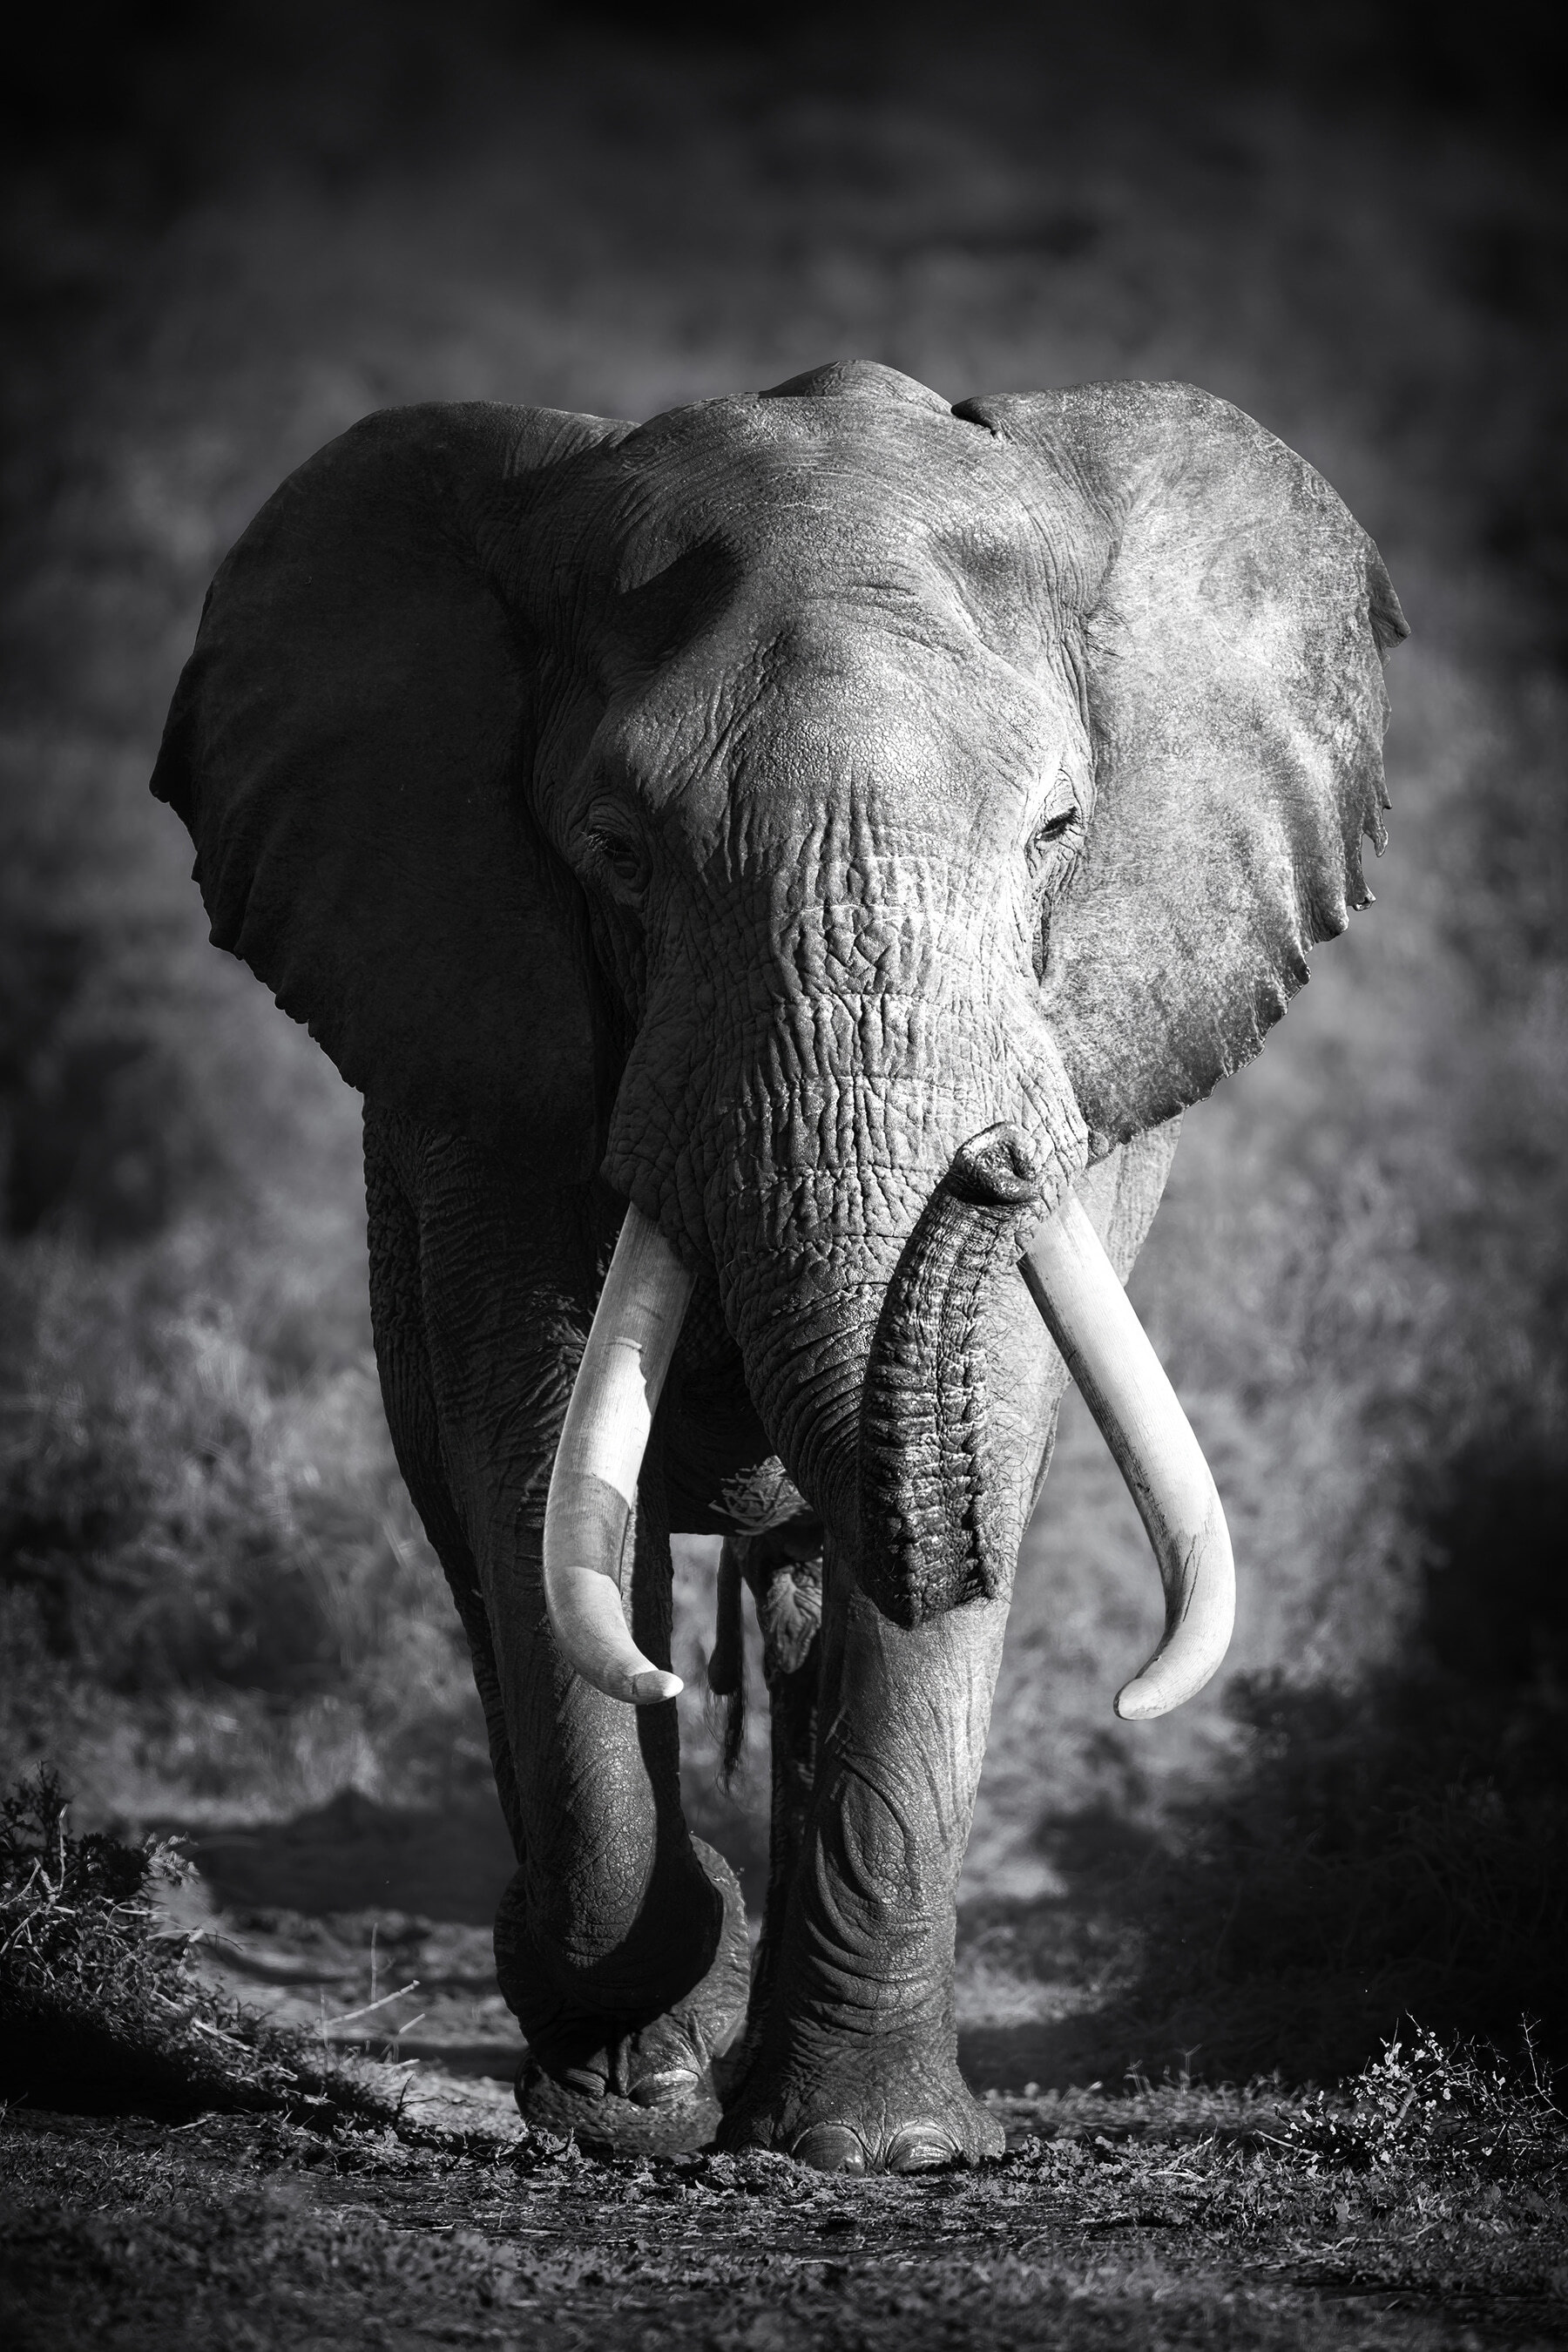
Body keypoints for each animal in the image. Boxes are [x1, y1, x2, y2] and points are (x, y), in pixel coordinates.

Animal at [151, 358, 1404, 2172]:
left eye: (1058, 831)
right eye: (616, 851)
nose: (994, 1161)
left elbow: (988, 1429)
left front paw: (877, 2151)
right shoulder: (482, 1053)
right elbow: (532, 1459)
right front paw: (627, 2086)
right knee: (478, 1538)